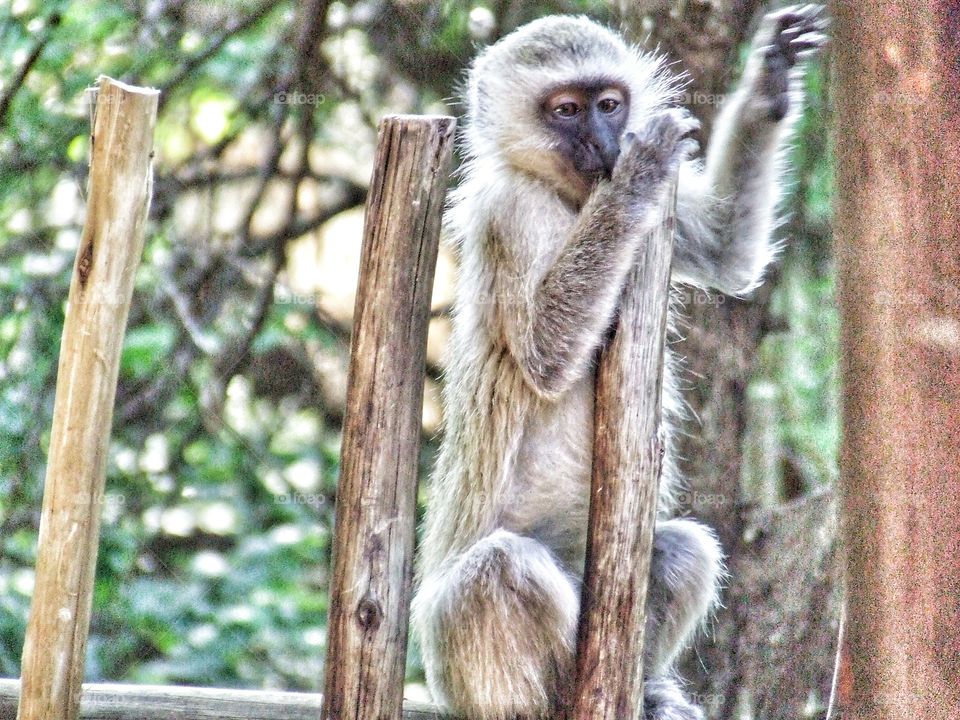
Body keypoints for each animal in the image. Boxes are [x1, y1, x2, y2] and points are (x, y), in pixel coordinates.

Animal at [410, 6, 827, 720]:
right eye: (567, 109)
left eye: (609, 104)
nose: (607, 142)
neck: (569, 198)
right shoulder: (512, 211)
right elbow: (546, 354)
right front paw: (639, 175)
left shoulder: (668, 220)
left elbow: (726, 253)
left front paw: (770, 78)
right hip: (455, 663)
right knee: (501, 569)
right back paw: (564, 701)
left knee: (682, 548)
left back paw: (648, 689)